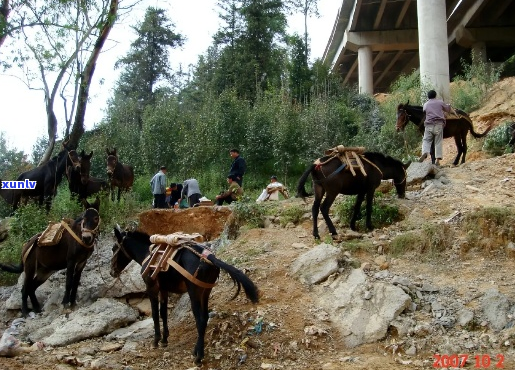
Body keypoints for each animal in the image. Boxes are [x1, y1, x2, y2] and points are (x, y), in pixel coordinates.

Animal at [111, 228, 260, 364]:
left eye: (113, 249)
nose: (112, 272)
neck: (148, 254)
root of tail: (209, 258)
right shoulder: (164, 290)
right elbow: (163, 313)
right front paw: (164, 339)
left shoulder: (151, 288)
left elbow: (155, 314)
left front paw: (156, 340)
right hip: (205, 292)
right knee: (205, 317)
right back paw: (196, 351)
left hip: (194, 293)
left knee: (200, 320)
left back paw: (199, 356)